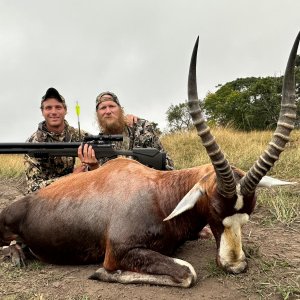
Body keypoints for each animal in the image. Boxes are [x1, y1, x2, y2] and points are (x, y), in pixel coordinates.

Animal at [0, 31, 298, 288]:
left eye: (248, 213)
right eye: (214, 209)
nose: (235, 265)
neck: (159, 192)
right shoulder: (118, 252)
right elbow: (187, 272)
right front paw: (101, 273)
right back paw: (16, 255)